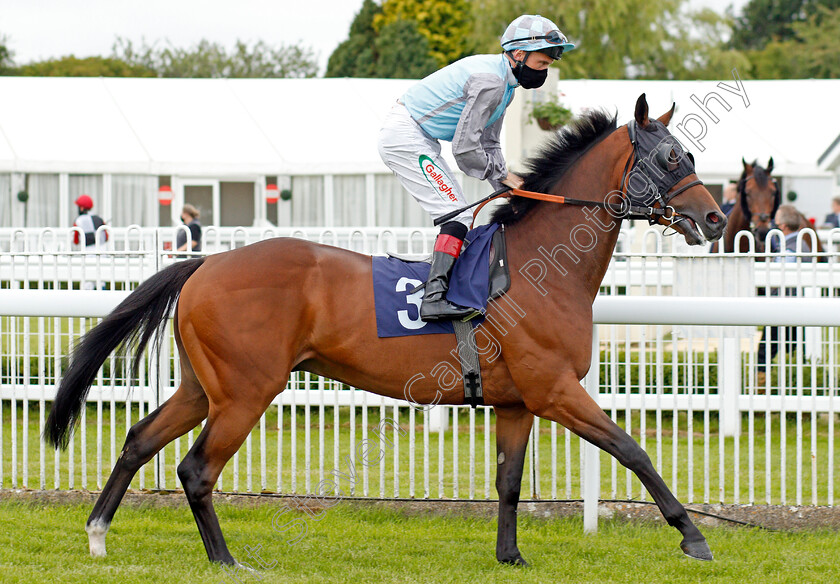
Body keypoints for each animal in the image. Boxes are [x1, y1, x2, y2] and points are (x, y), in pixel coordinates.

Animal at [46, 94, 724, 564]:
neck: (540, 267)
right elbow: (632, 449)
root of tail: (207, 262)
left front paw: (510, 555)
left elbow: (508, 483)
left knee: (139, 439)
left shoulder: (516, 401)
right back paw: (226, 560)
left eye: (691, 155)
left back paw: (98, 534)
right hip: (245, 391)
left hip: (201, 386)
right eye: (671, 158)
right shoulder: (556, 388)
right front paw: (692, 536)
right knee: (196, 471)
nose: (716, 218)